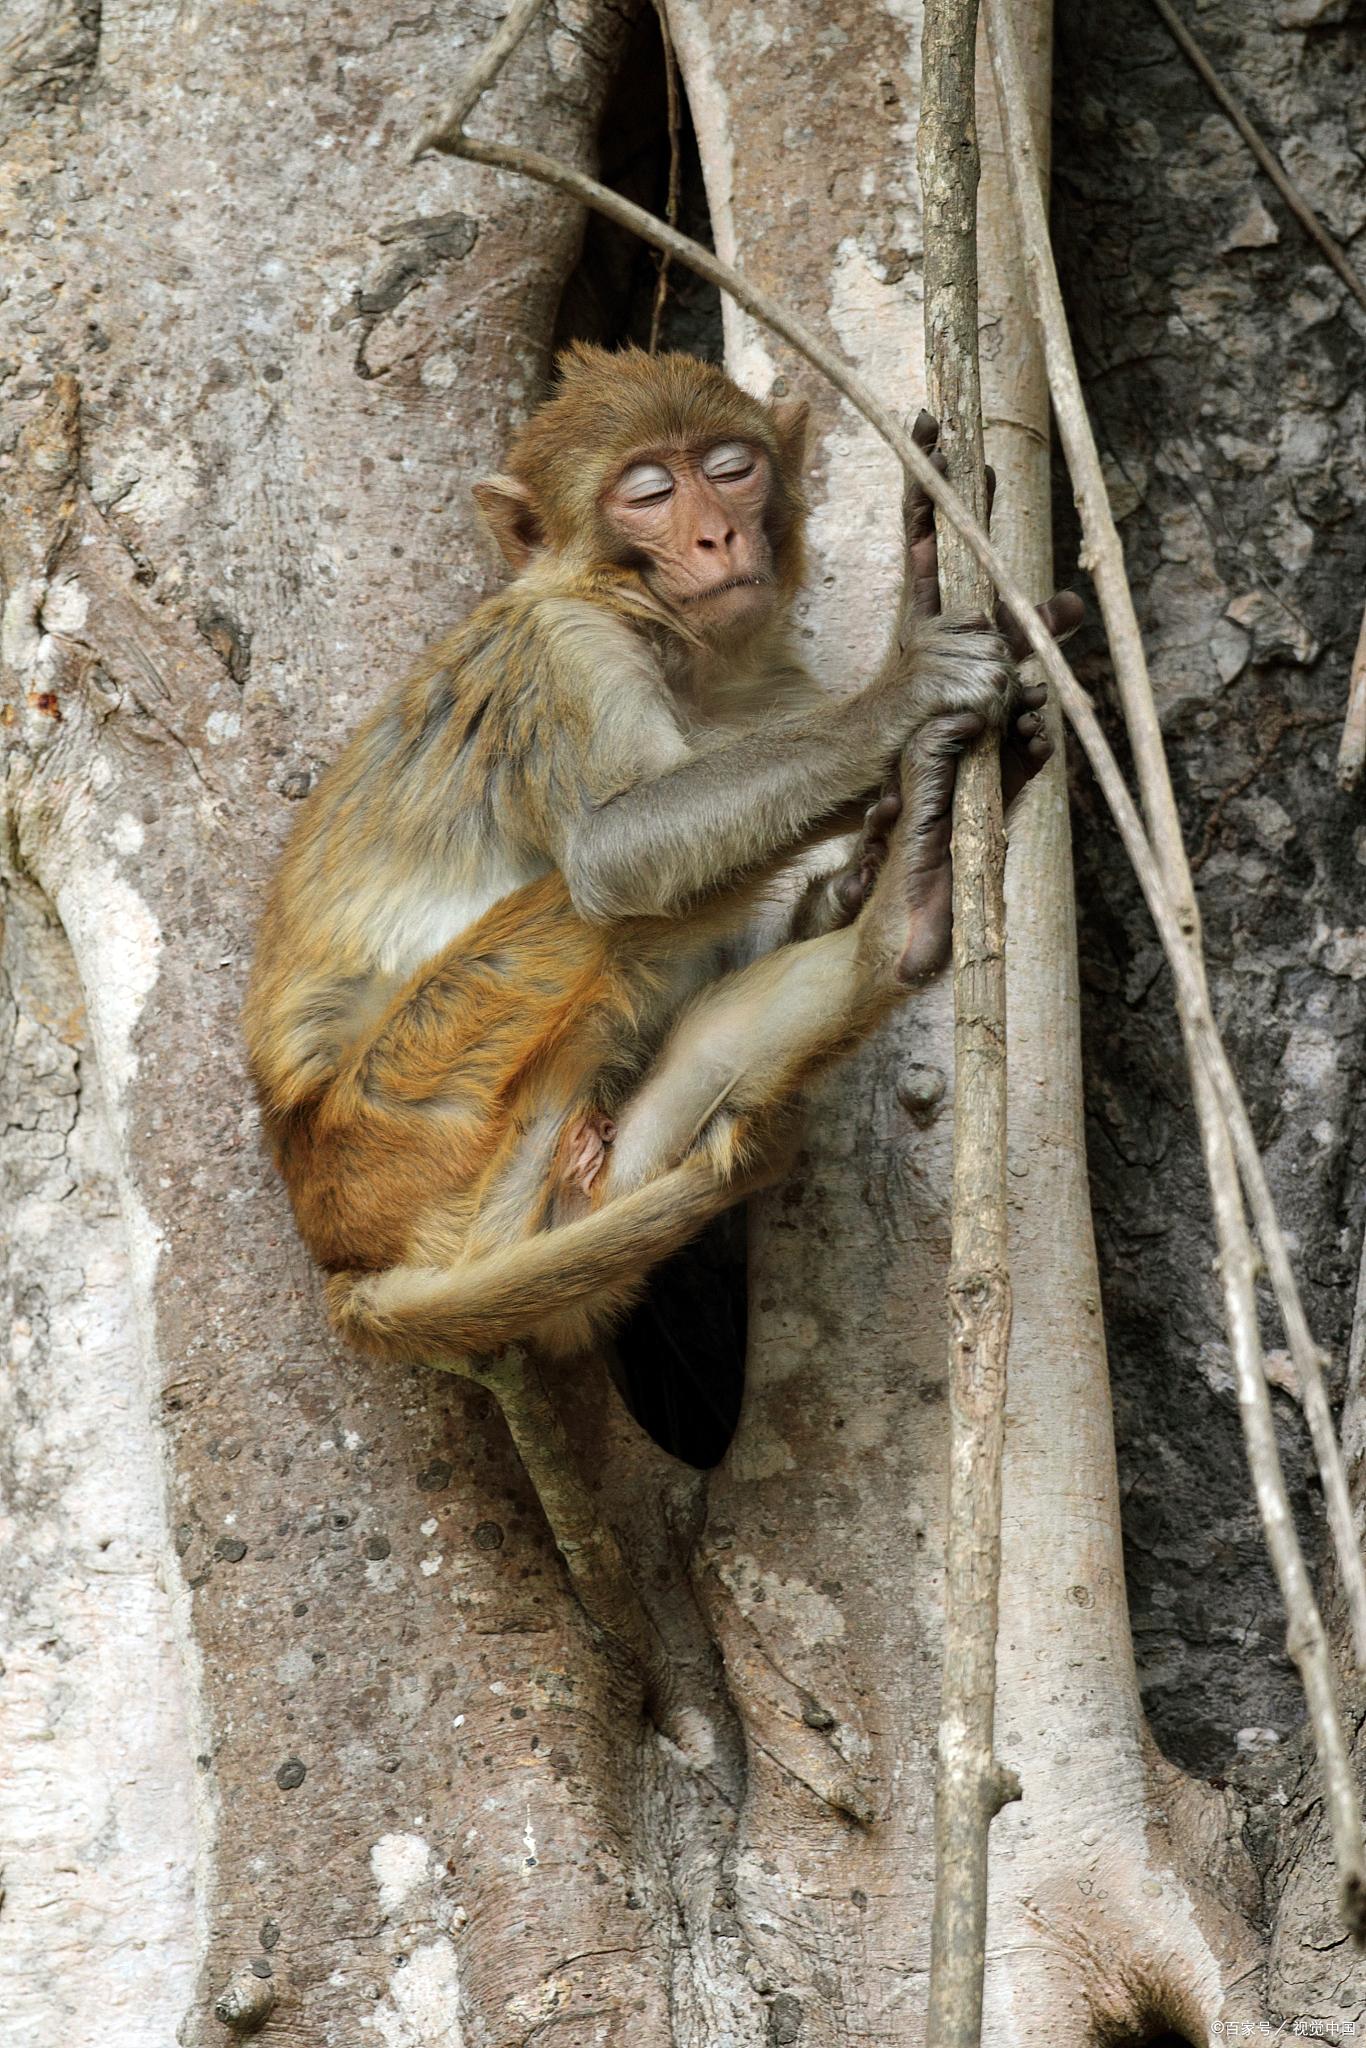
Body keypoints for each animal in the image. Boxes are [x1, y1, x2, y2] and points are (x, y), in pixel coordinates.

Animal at [248, 348, 1081, 1376]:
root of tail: (336, 1250)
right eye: (647, 492)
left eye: (731, 468)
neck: (686, 661)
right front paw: (899, 692)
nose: (717, 536)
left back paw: (900, 916)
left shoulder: (775, 688)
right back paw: (908, 891)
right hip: (408, 1107)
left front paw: (854, 873)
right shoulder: (564, 653)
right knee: (592, 912)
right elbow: (613, 852)